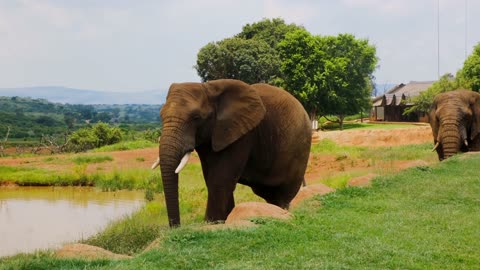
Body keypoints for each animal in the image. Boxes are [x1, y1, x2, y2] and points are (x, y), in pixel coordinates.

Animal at [153, 79, 312, 227]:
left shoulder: (242, 134)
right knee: (268, 193)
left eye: (196, 117)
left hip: (299, 149)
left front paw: (212, 223)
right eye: (160, 116)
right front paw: (223, 220)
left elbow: (220, 178)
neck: (209, 88)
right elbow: (212, 178)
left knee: (283, 193)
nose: (176, 227)